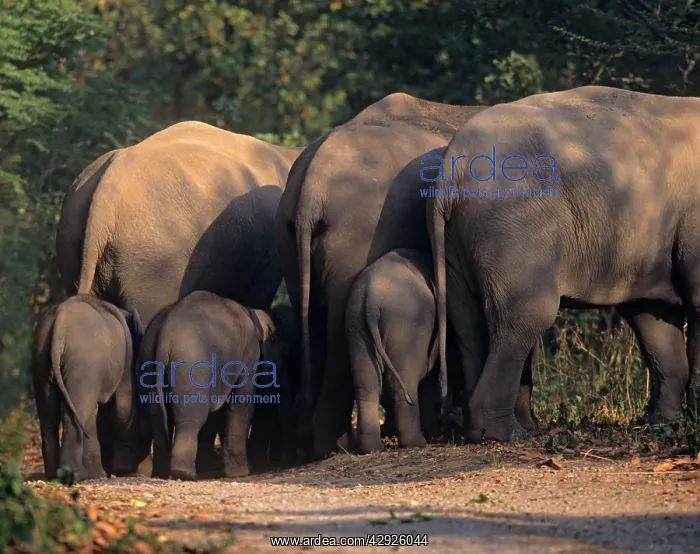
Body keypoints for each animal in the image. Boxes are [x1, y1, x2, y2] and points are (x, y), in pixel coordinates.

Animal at [31, 294, 149, 481]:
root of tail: (59, 322)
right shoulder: (126, 357)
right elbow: (124, 407)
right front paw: (126, 471)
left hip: (41, 357)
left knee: (49, 415)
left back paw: (54, 475)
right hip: (84, 362)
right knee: (75, 413)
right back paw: (77, 474)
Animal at [140, 291, 298, 480]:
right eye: (285, 354)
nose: (286, 460)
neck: (252, 311)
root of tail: (165, 333)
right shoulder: (248, 354)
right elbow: (240, 403)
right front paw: (241, 473)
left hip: (148, 360)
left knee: (157, 417)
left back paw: (161, 474)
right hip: (191, 366)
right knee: (192, 417)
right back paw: (184, 473)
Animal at [276, 92, 515, 458]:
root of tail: (310, 191)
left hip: (290, 239)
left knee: (315, 322)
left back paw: (318, 442)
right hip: (356, 236)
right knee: (336, 328)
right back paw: (334, 444)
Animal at [427, 85, 696, 443]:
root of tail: (449, 175)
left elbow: (652, 315)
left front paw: (660, 422)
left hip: (457, 242)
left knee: (468, 322)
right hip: (515, 227)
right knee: (526, 316)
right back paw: (505, 433)